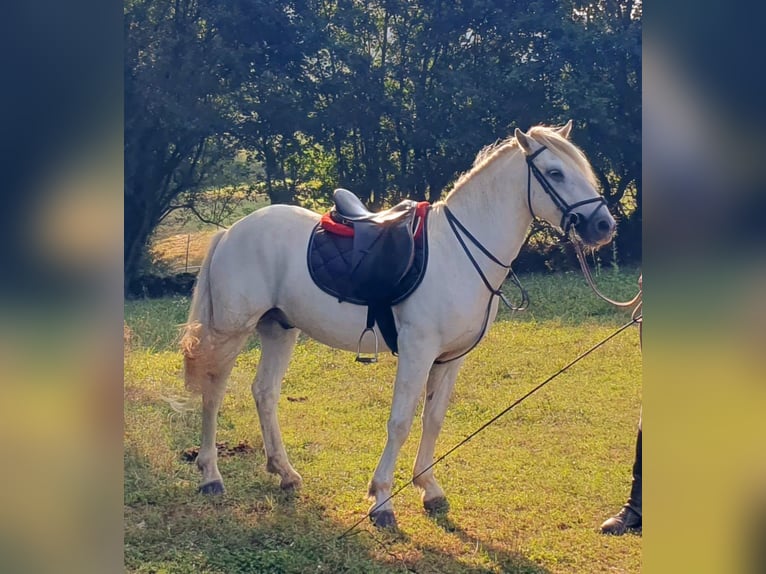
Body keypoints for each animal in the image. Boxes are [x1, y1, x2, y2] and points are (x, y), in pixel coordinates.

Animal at [182, 121, 616, 532]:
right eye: (555, 172)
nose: (603, 226)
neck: (461, 252)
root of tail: (232, 231)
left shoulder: (451, 358)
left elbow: (433, 419)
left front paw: (430, 489)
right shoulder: (417, 351)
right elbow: (400, 421)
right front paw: (382, 501)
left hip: (279, 329)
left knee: (264, 393)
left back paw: (285, 473)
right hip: (231, 332)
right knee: (213, 391)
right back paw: (211, 476)